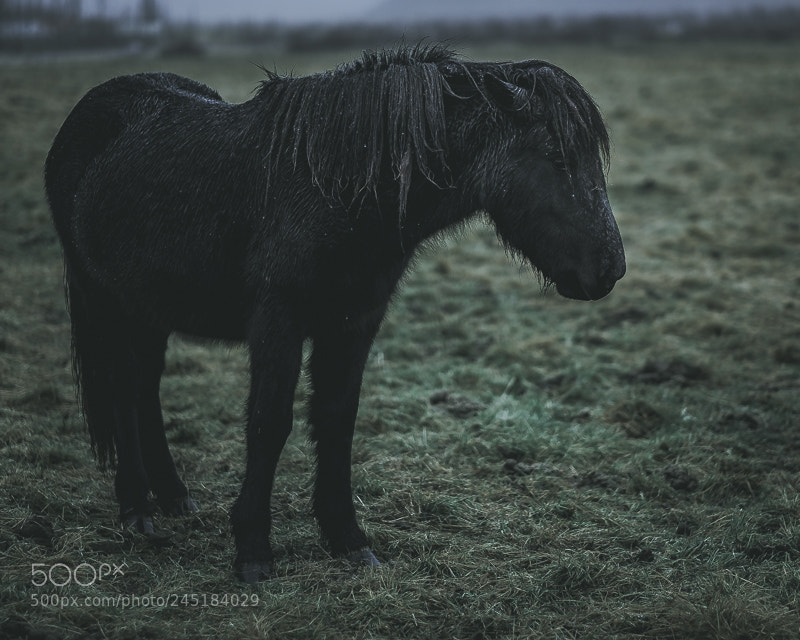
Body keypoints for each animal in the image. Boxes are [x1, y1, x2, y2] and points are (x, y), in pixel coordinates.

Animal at [44, 44, 625, 583]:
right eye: (555, 154)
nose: (611, 268)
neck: (335, 189)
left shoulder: (354, 324)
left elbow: (337, 419)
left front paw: (347, 538)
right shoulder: (277, 323)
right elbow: (268, 423)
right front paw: (253, 549)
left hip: (150, 306)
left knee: (145, 386)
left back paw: (172, 495)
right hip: (106, 299)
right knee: (123, 389)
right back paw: (136, 508)